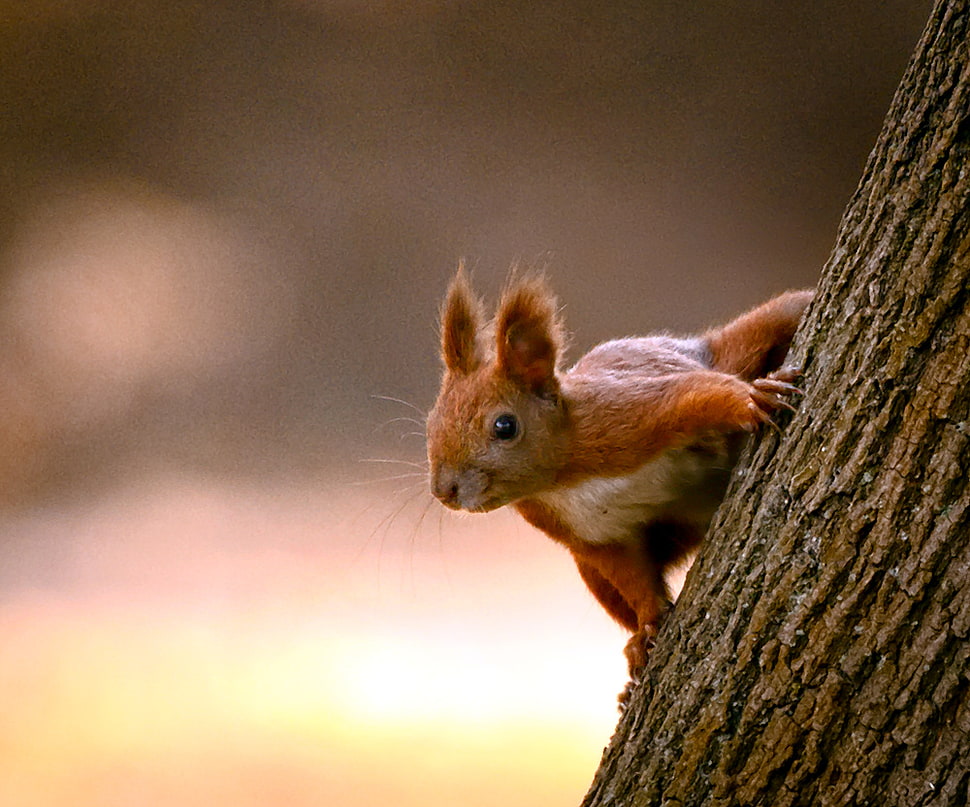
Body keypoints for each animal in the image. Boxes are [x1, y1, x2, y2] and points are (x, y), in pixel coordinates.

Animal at [425, 268, 813, 699]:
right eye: (431, 423)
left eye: (505, 426)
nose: (444, 491)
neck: (561, 481)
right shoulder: (590, 535)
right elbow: (631, 576)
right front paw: (649, 623)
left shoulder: (622, 414)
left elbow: (694, 395)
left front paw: (751, 400)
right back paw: (632, 661)